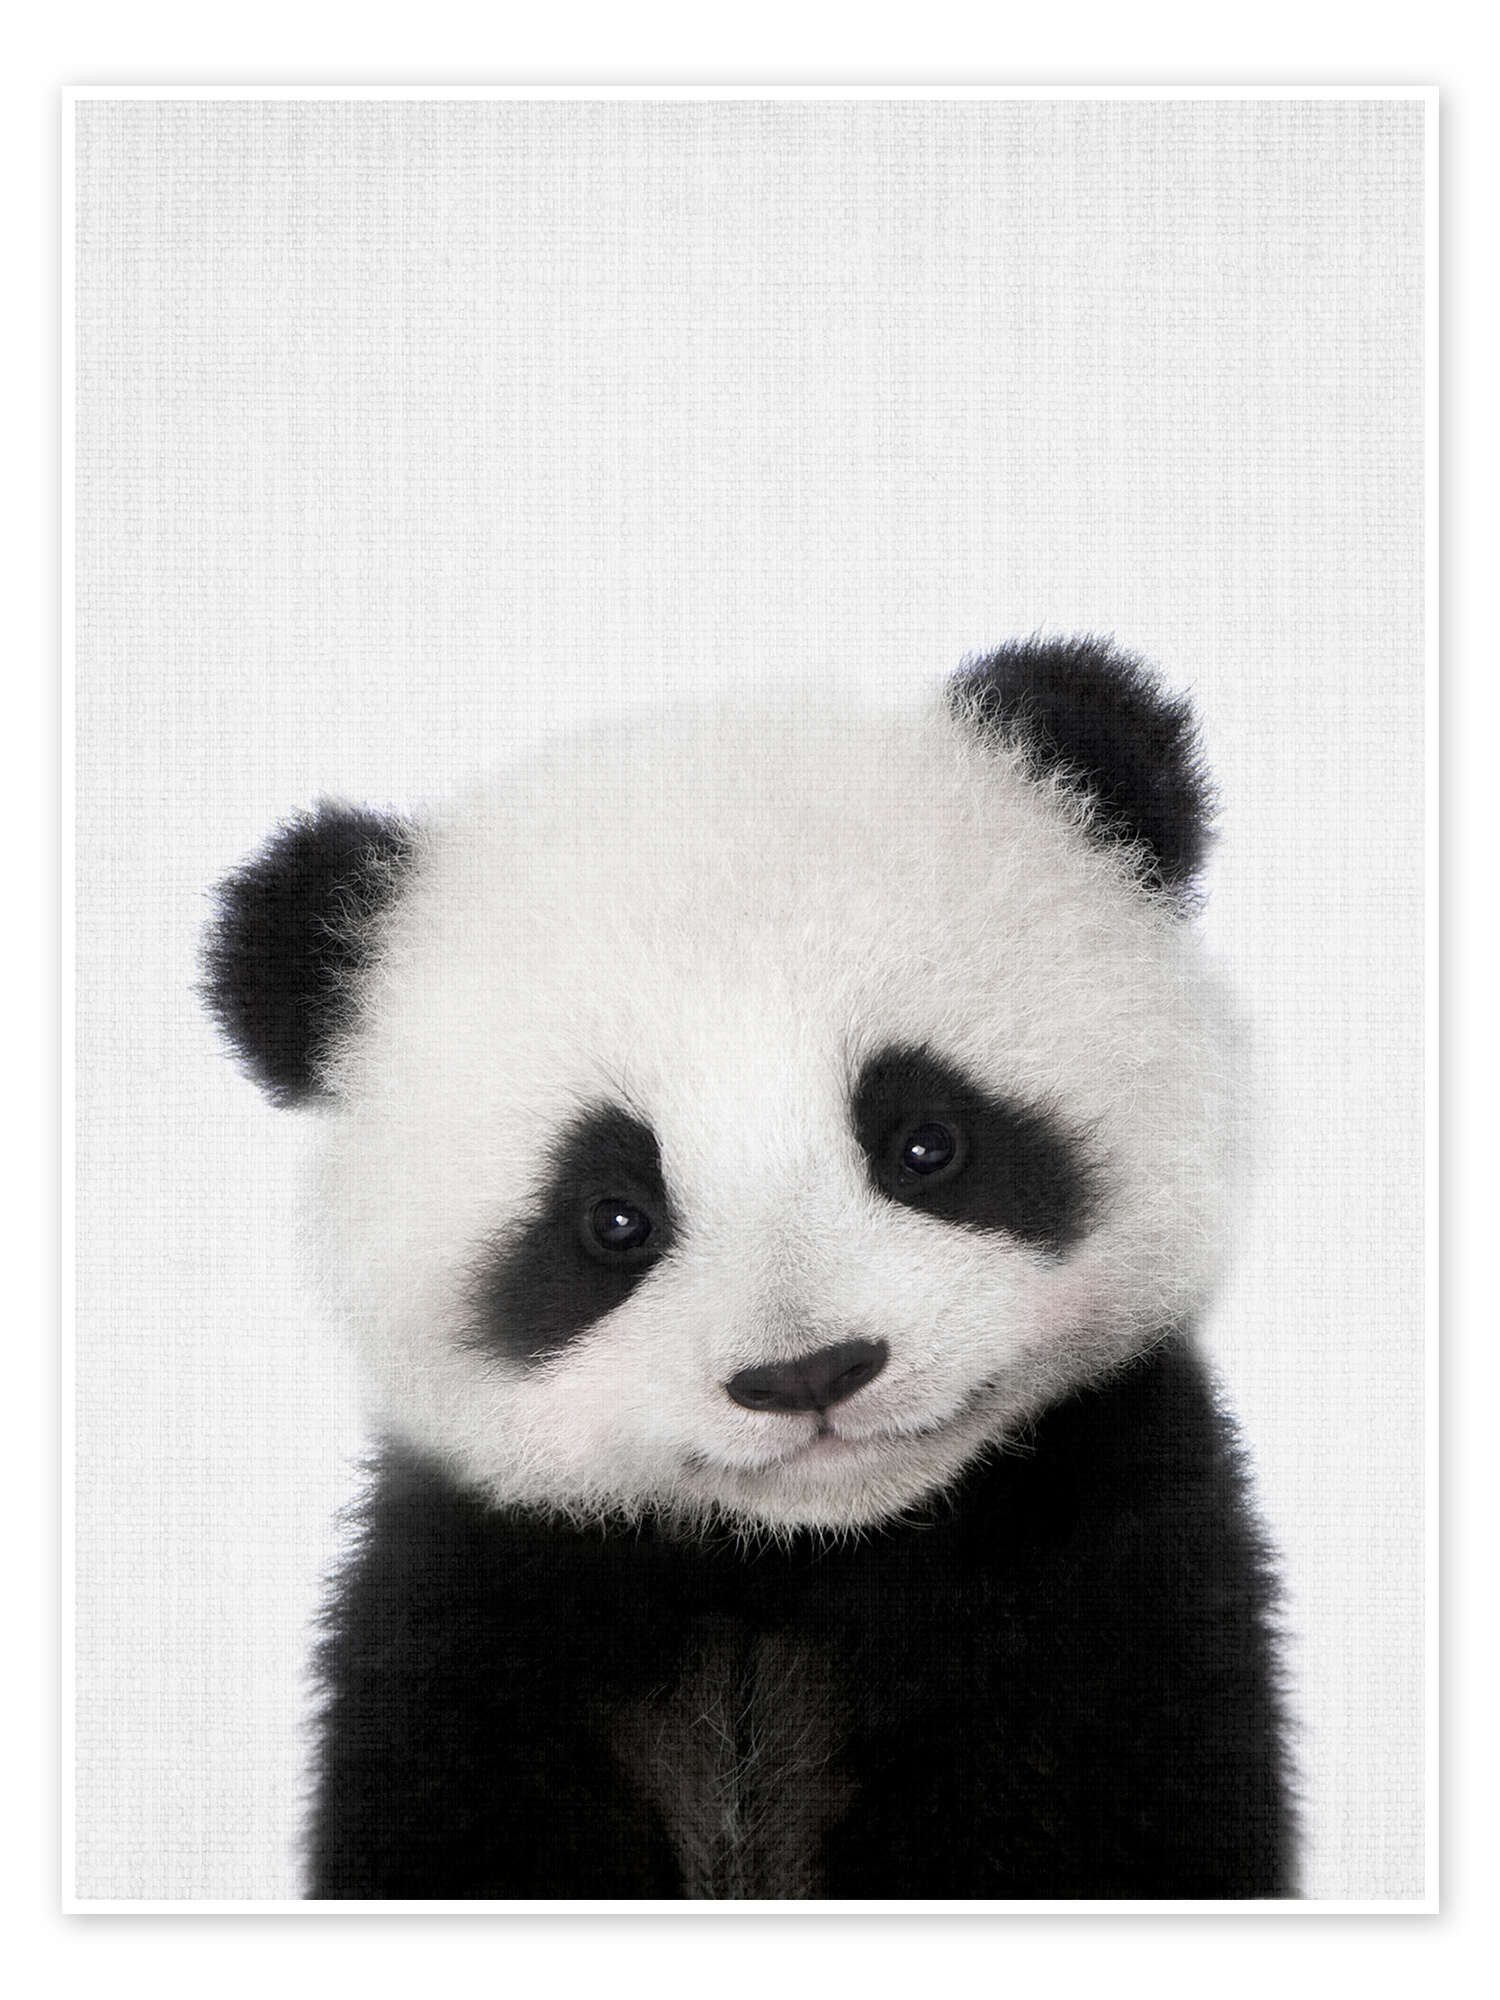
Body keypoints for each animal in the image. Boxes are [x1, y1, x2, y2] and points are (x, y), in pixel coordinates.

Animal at [203, 636, 1294, 1901]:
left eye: (926, 1142)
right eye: (613, 1216)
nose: (810, 1372)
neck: (794, 1560)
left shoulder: (1107, 1569)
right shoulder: (476, 1613)